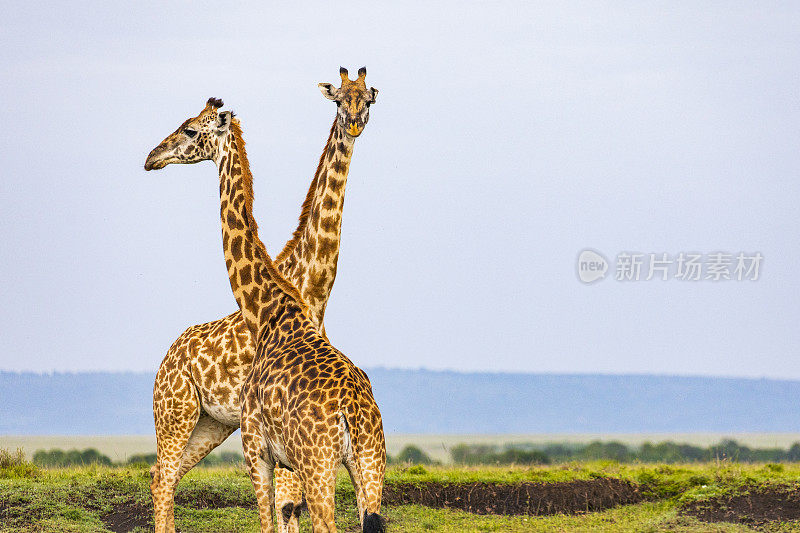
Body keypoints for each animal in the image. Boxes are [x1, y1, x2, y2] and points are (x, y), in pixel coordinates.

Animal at [145, 66, 380, 532]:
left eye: (190, 128)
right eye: (339, 99)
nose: (151, 156)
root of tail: (167, 356)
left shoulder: (262, 446)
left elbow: (282, 513)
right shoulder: (267, 448)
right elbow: (283, 513)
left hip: (213, 426)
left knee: (164, 478)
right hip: (181, 416)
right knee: (162, 478)